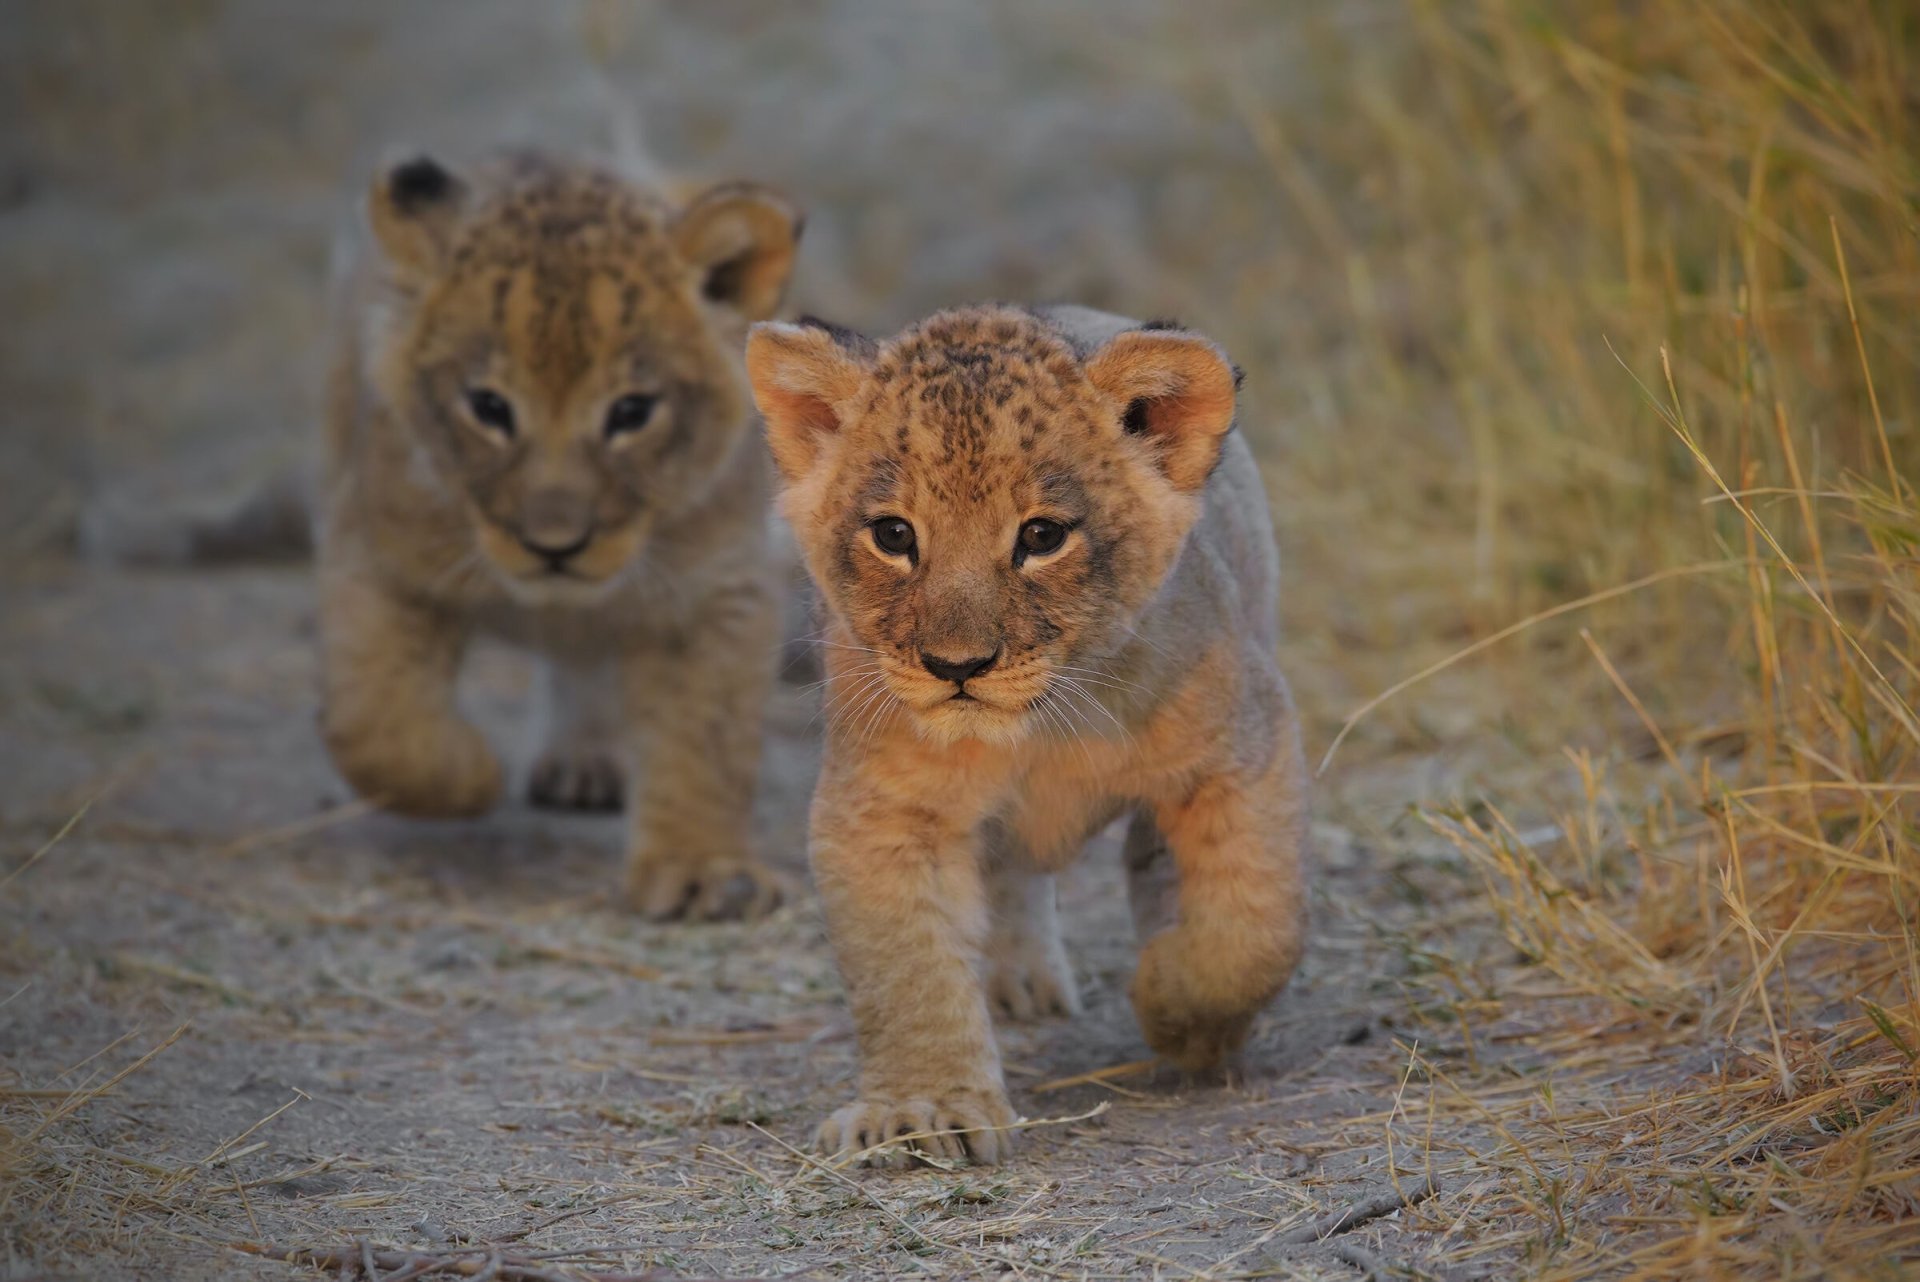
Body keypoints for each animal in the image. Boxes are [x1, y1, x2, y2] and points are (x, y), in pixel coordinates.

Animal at [318, 150, 800, 919]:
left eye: (632, 411)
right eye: (489, 407)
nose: (555, 545)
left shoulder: (716, 591)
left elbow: (706, 740)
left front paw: (705, 873)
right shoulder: (377, 551)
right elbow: (376, 723)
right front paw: (471, 774)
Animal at [744, 303, 1310, 1164]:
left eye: (1042, 537)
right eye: (894, 535)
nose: (957, 665)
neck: (1041, 730)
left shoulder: (1246, 748)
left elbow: (1251, 928)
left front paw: (1174, 1004)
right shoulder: (882, 812)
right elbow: (905, 969)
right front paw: (925, 1109)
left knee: (1152, 869)